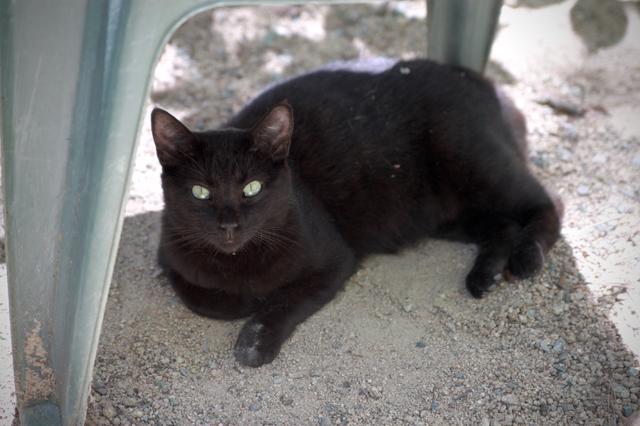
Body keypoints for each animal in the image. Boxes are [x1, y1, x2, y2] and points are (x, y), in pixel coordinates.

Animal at [151, 58, 560, 368]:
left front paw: (256, 340)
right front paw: (245, 301)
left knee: (547, 202)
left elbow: (287, 299)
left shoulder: (333, 262)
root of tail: (475, 76)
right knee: (503, 225)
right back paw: (484, 276)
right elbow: (201, 298)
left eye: (252, 188)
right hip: (448, 214)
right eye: (200, 192)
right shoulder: (170, 258)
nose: (229, 224)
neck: (238, 262)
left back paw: (526, 257)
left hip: (473, 163)